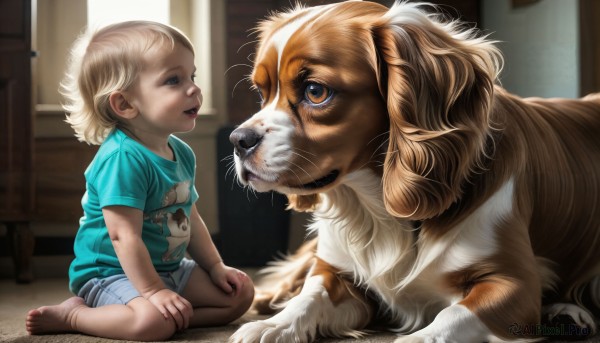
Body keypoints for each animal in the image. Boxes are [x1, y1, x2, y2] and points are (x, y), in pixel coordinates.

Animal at [227, 1, 600, 342]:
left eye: (316, 91)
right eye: (261, 92)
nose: (238, 140)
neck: (377, 206)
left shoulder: (513, 284)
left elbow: (450, 316)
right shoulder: (334, 269)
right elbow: (309, 296)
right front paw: (273, 326)